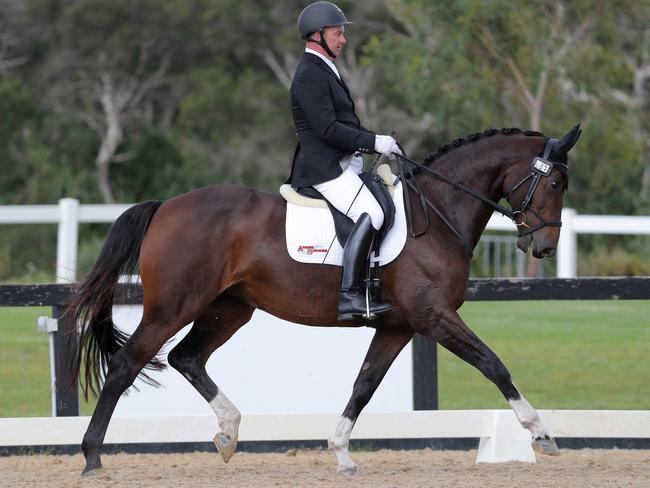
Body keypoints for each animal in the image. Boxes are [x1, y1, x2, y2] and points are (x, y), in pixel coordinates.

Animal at [71, 124, 584, 474]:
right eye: (555, 184)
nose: (543, 247)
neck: (438, 212)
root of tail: (166, 207)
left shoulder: (398, 325)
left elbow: (364, 385)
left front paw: (341, 453)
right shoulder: (434, 317)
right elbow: (493, 363)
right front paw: (541, 432)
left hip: (229, 308)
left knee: (187, 357)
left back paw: (229, 433)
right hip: (174, 306)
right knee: (127, 364)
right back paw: (93, 457)